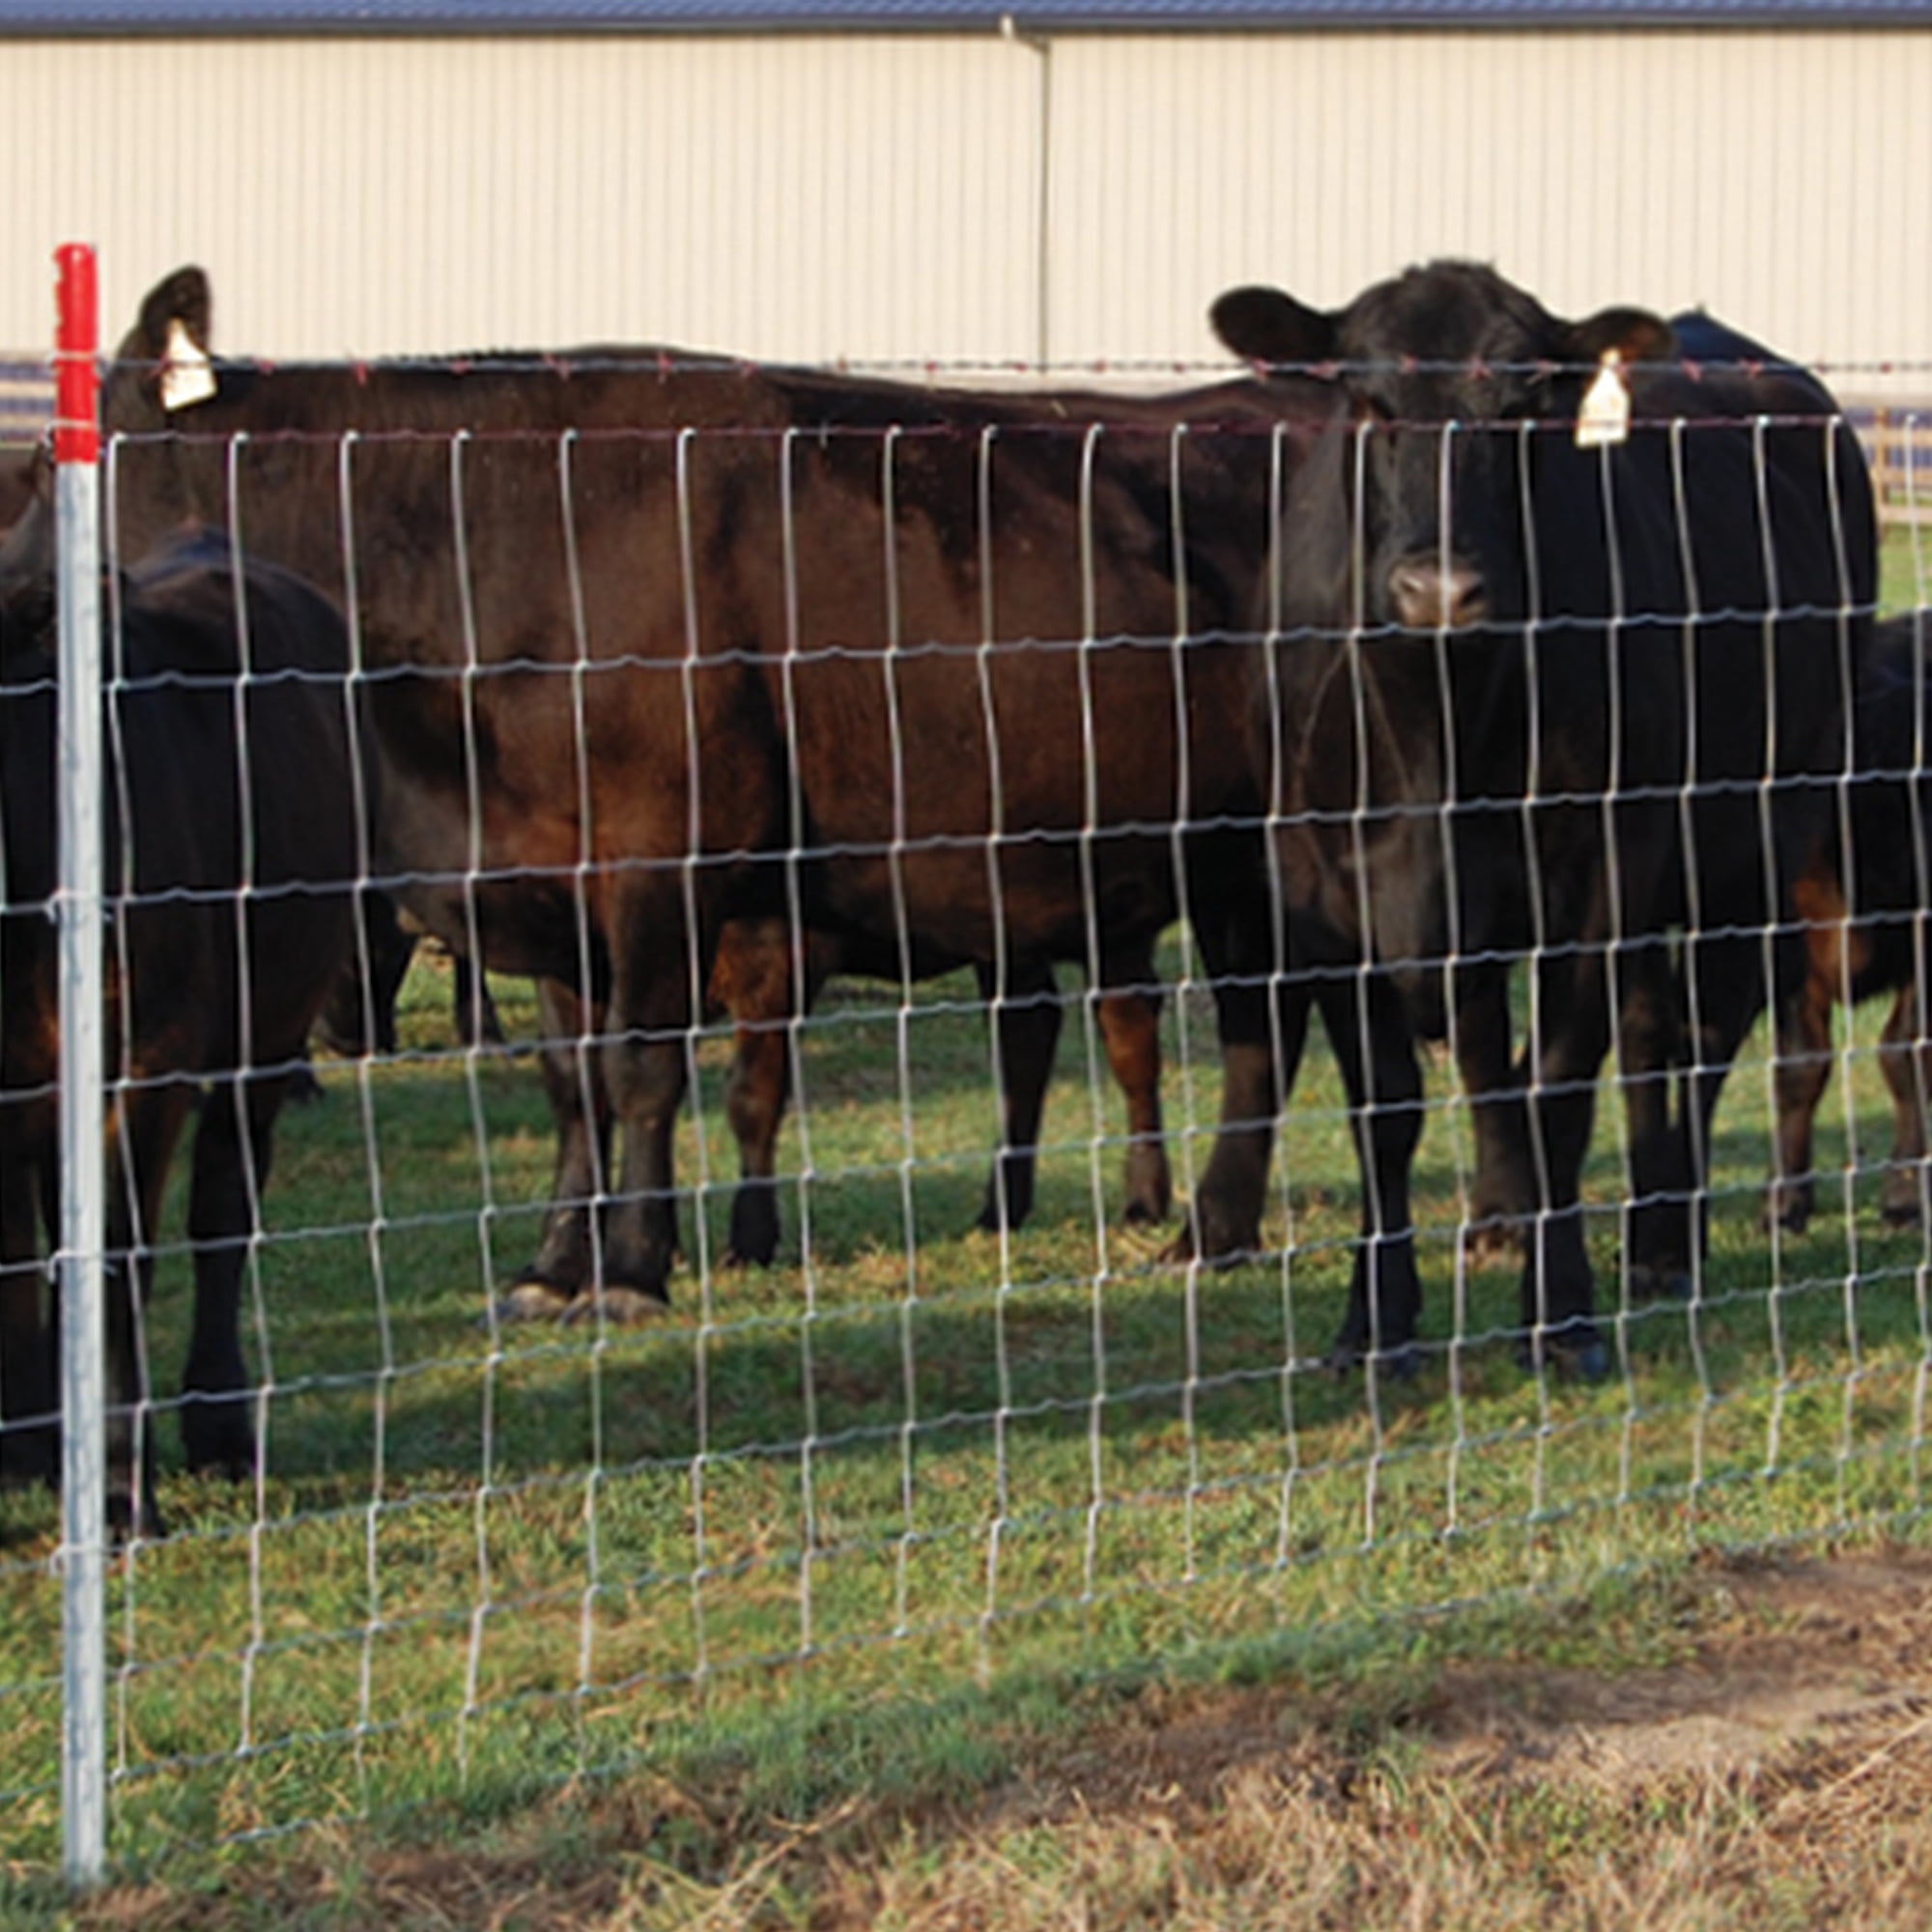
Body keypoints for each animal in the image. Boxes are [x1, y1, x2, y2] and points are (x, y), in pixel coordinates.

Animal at [0, 532, 359, 1538]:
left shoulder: (145, 1058)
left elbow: (117, 1261)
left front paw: (123, 1489)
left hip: (266, 1031)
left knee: (221, 1214)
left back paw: (219, 1428)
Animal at [85, 266, 1338, 1321]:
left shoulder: (663, 857)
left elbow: (642, 1070)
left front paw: (634, 1269)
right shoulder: (550, 884)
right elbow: (571, 1083)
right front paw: (553, 1263)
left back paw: (1208, 1229)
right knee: (1256, 1025)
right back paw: (1210, 1230)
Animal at [1208, 260, 1876, 1376]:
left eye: (1524, 409)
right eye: (1370, 403)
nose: (1438, 588)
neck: (1434, 722)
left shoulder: (1601, 867)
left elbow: (1555, 1085)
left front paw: (1560, 1317)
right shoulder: (1318, 886)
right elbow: (1390, 1099)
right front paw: (1375, 1321)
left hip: (1761, 833)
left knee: (1704, 1033)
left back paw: (1667, 1241)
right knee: (1626, 1037)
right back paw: (1535, 1219)